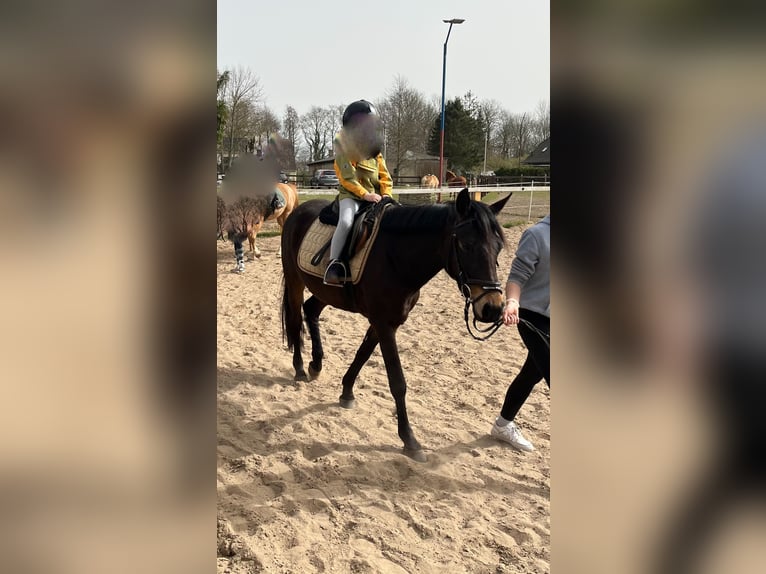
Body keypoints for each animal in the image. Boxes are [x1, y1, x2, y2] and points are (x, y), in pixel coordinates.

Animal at [280, 189, 510, 464]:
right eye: (466, 244)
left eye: (498, 247)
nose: (493, 308)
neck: (395, 258)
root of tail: (298, 211)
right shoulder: (383, 322)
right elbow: (397, 381)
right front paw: (409, 440)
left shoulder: (388, 322)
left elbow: (363, 354)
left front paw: (346, 392)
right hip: (295, 280)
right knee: (295, 319)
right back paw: (300, 368)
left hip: (327, 292)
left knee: (311, 311)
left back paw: (316, 364)